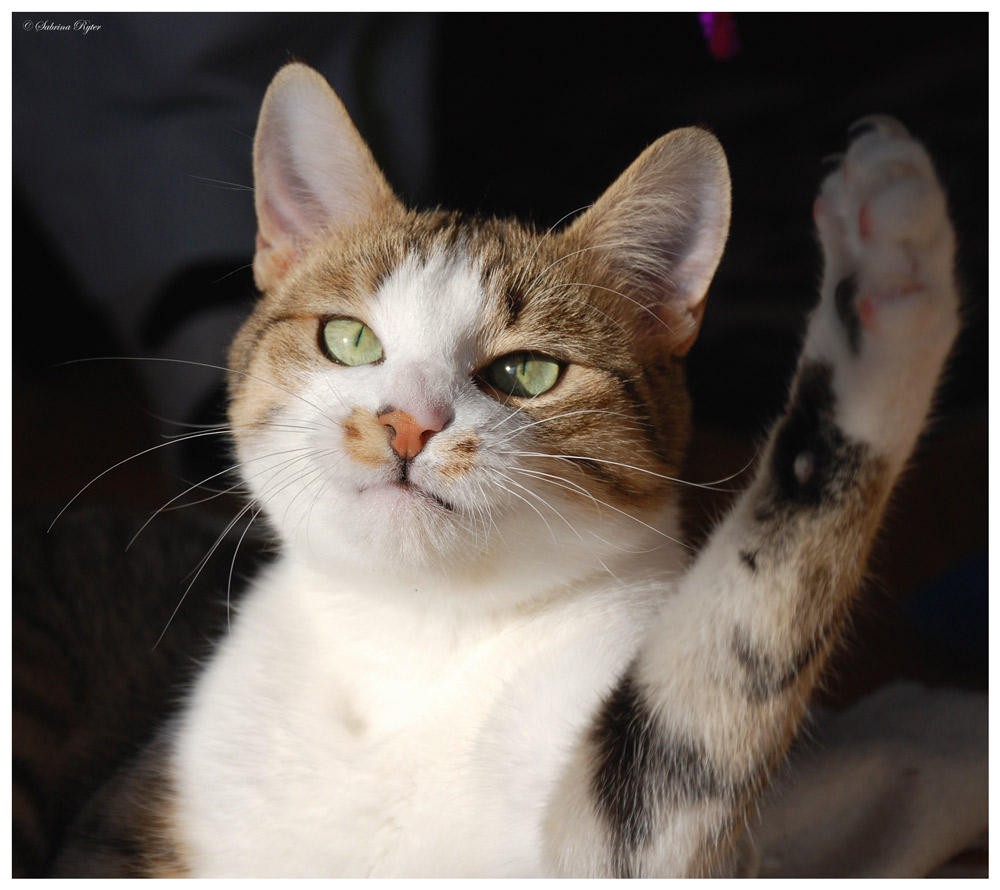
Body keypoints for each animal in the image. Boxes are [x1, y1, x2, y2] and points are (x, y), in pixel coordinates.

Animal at [41, 62, 960, 876]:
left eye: (527, 372)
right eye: (349, 338)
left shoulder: (615, 830)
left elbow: (729, 658)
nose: (407, 423)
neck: (416, 640)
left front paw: (887, 300)